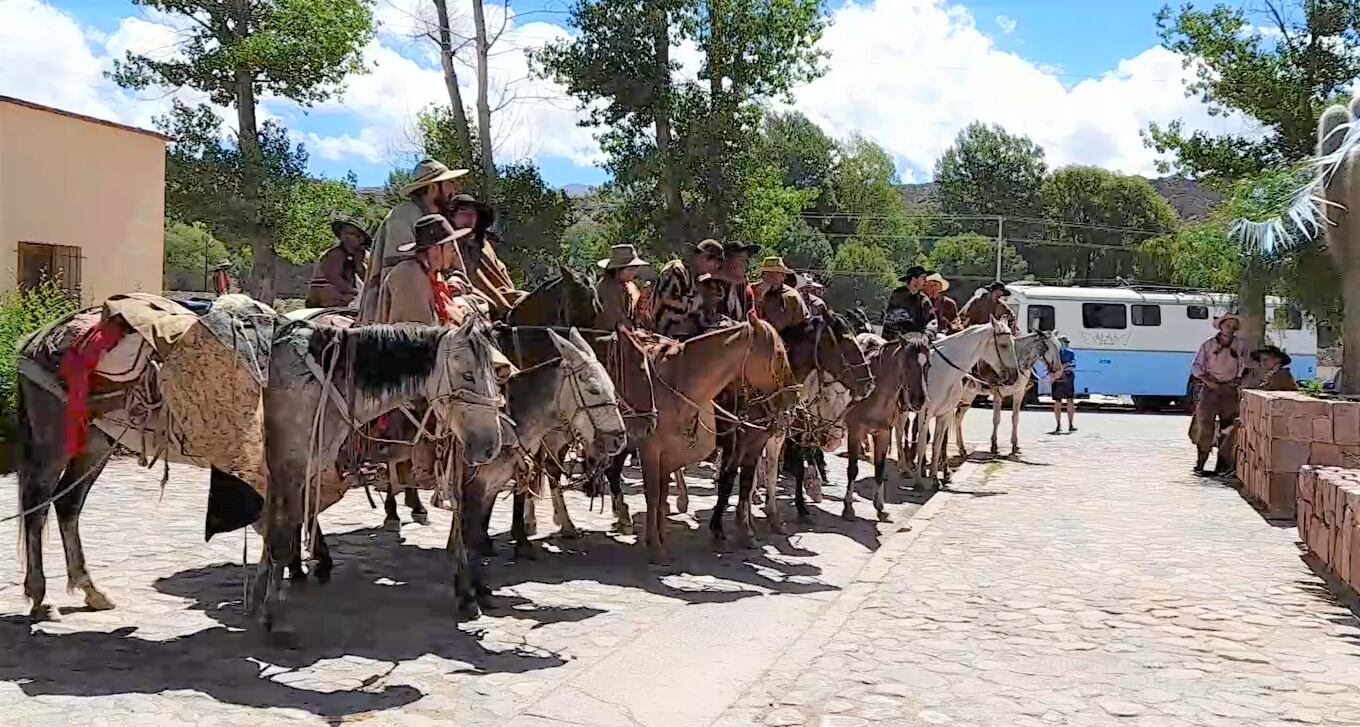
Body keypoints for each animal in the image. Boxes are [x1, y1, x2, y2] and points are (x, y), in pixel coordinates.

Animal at [257, 317, 508, 630]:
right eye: (468, 375)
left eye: (496, 374)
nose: (491, 446)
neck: (322, 380)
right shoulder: (287, 467)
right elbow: (279, 529)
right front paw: (272, 614)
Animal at [636, 313, 794, 562]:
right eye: (779, 352)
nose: (792, 397)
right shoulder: (736, 442)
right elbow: (728, 482)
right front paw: (721, 531)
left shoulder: (757, 444)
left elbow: (748, 482)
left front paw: (748, 528)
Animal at [913, 320, 1022, 486]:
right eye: (1003, 345)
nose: (1014, 376)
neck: (942, 370)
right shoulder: (925, 413)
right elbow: (922, 442)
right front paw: (919, 481)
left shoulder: (945, 413)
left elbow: (938, 444)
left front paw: (935, 478)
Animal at [952, 331, 1066, 462]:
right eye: (1047, 346)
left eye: (1059, 347)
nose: (1058, 372)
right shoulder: (998, 393)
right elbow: (996, 419)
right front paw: (994, 446)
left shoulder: (1018, 393)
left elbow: (1015, 418)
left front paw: (1014, 446)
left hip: (968, 395)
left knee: (958, 417)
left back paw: (961, 449)